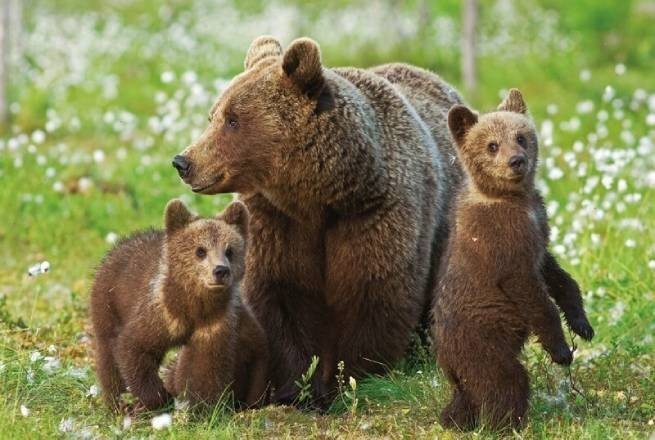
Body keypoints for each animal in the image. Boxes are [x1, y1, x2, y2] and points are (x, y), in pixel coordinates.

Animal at [172, 37, 464, 402]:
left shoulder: (373, 215)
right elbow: (282, 297)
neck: (318, 196)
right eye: (213, 115)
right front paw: (298, 388)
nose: (183, 162)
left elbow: (372, 293)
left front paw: (345, 380)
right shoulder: (277, 222)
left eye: (233, 119)